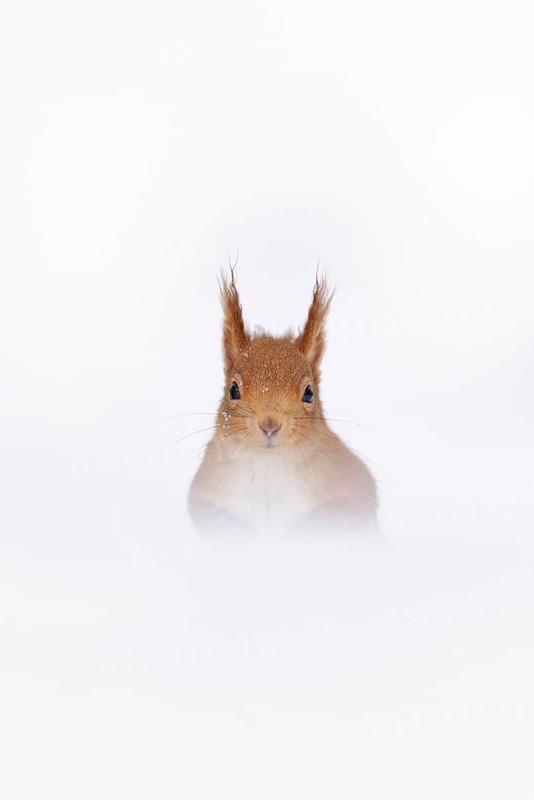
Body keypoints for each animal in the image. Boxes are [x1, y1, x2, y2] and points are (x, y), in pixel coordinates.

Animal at [188, 271, 377, 534]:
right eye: (233, 390)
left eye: (309, 393)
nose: (270, 425)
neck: (269, 467)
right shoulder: (207, 491)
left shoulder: (353, 485)